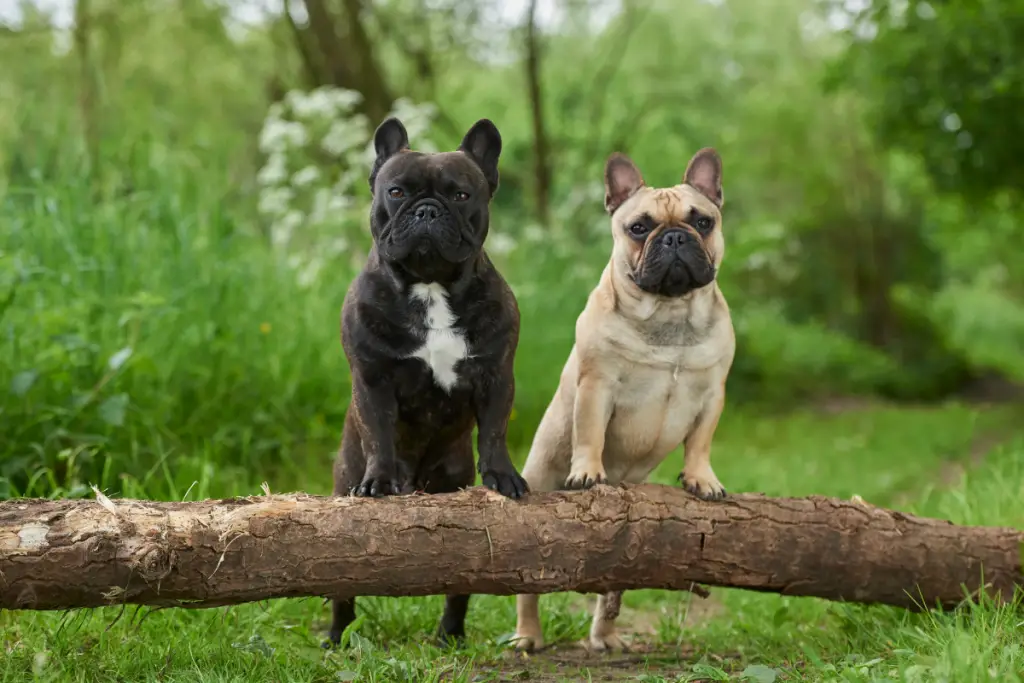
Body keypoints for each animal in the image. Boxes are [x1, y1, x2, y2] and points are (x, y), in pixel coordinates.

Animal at [327, 116, 532, 647]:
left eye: (461, 195)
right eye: (396, 191)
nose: (426, 210)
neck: (430, 287)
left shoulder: (497, 375)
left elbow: (495, 431)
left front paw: (503, 477)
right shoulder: (373, 379)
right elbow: (379, 432)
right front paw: (379, 482)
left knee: (458, 586)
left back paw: (450, 635)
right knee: (338, 587)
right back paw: (334, 638)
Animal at [512, 148, 737, 651]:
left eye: (703, 221)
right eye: (638, 227)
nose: (674, 236)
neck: (670, 313)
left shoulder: (712, 393)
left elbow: (701, 443)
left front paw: (702, 480)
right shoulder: (598, 384)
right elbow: (590, 433)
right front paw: (588, 473)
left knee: (612, 585)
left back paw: (606, 635)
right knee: (526, 588)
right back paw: (528, 636)